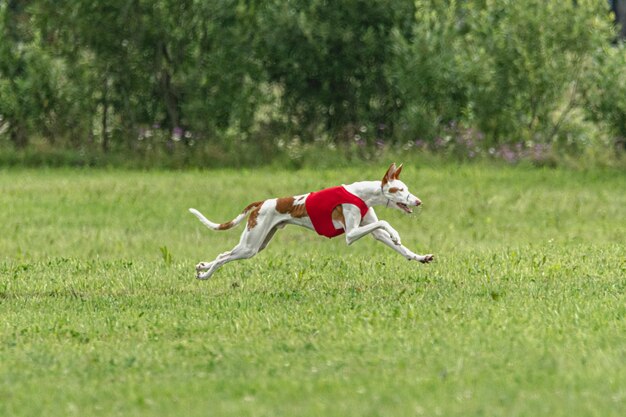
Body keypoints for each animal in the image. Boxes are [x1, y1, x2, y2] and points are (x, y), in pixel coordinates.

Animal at [190, 162, 432, 280]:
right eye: (399, 190)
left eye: (407, 189)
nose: (418, 201)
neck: (363, 194)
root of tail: (261, 203)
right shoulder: (351, 234)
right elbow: (385, 224)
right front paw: (396, 234)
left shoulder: (371, 231)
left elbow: (397, 245)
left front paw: (420, 257)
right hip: (250, 245)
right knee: (223, 257)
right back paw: (206, 275)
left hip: (258, 243)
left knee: (223, 254)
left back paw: (202, 267)